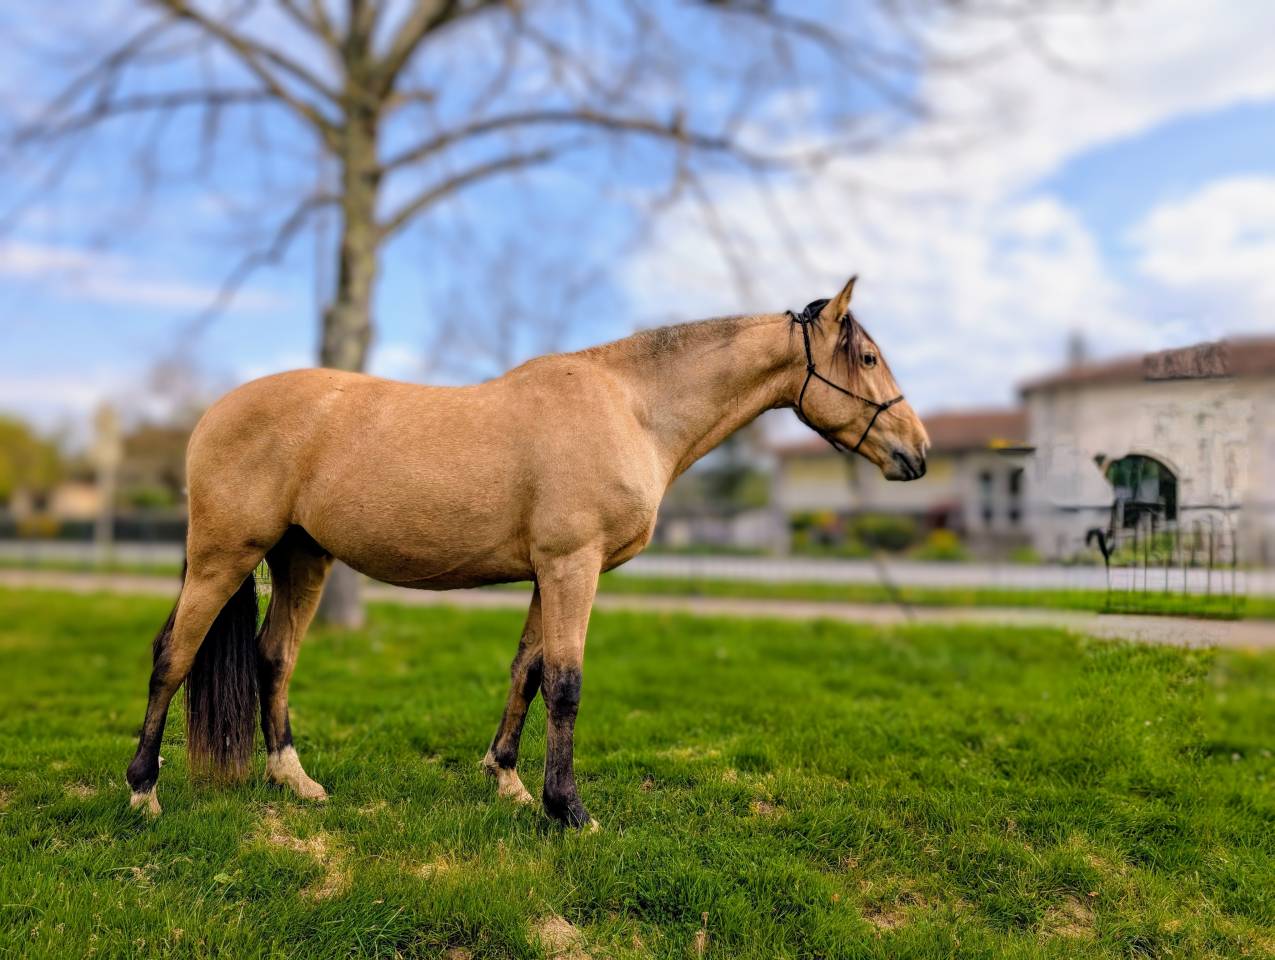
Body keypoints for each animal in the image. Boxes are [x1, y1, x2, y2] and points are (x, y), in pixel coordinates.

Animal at [125, 275, 929, 828]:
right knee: (173, 655)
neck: (631, 407)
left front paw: (506, 780)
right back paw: (142, 791)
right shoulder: (573, 567)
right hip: (225, 555)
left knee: (273, 656)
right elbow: (567, 684)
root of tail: (215, 413)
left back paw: (292, 779)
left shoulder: (551, 573)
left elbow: (528, 672)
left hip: (302, 558)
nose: (916, 453)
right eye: (866, 355)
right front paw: (567, 808)